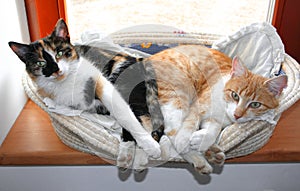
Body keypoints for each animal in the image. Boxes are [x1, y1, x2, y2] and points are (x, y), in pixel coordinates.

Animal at [7, 19, 162, 160]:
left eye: (59, 53)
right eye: (40, 63)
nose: (55, 70)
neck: (66, 82)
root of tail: (142, 62)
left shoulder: (102, 83)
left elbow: (124, 114)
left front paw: (149, 145)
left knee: (143, 116)